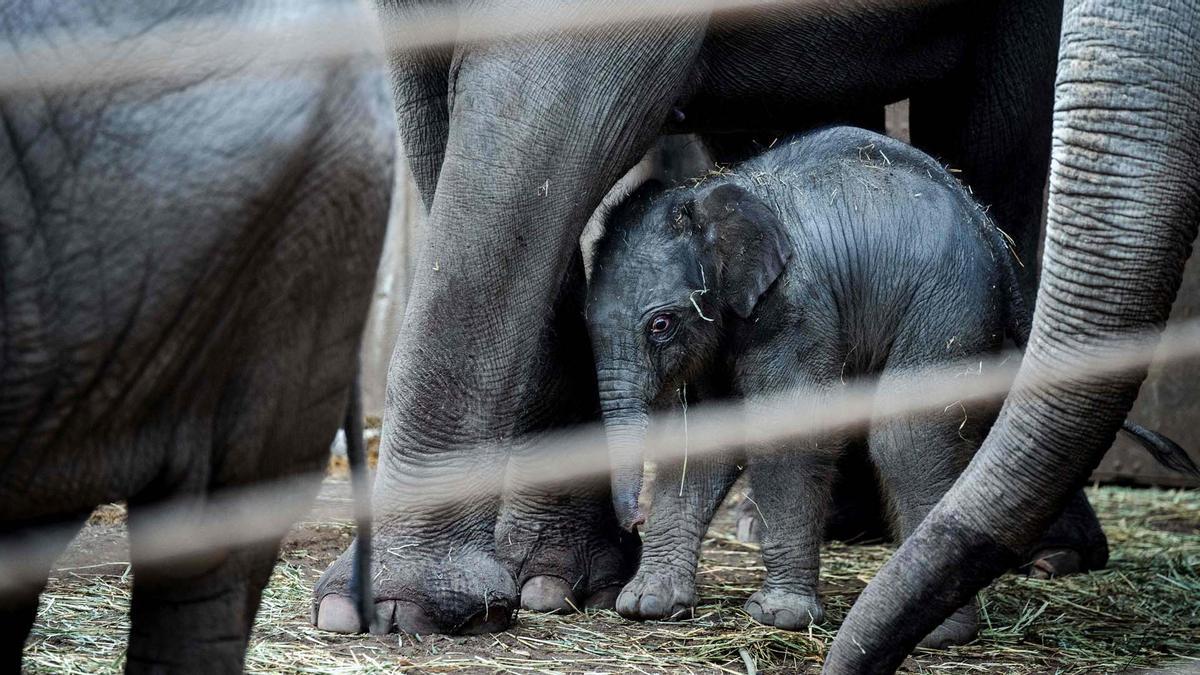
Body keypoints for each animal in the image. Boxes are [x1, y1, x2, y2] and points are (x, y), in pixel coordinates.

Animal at [585, 126, 1027, 648]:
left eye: (661, 325)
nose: (632, 522)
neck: (714, 193)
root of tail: (991, 231)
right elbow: (703, 438)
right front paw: (646, 605)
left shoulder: (794, 305)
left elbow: (791, 429)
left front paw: (778, 617)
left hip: (951, 302)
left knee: (907, 436)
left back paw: (938, 632)